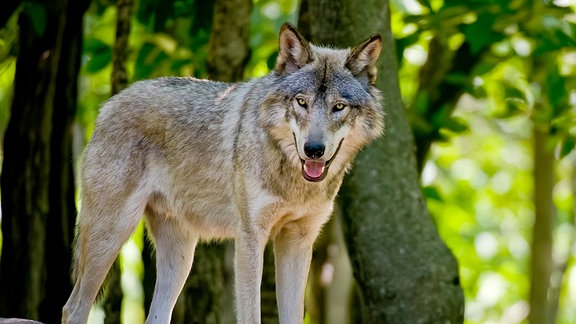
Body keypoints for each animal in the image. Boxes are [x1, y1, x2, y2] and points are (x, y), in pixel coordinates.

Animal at [62, 23, 382, 324]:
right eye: (301, 102)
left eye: (338, 107)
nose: (313, 149)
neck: (292, 180)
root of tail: (109, 104)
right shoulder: (250, 238)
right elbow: (251, 315)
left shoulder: (298, 241)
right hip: (112, 235)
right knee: (73, 308)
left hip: (180, 257)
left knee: (155, 316)